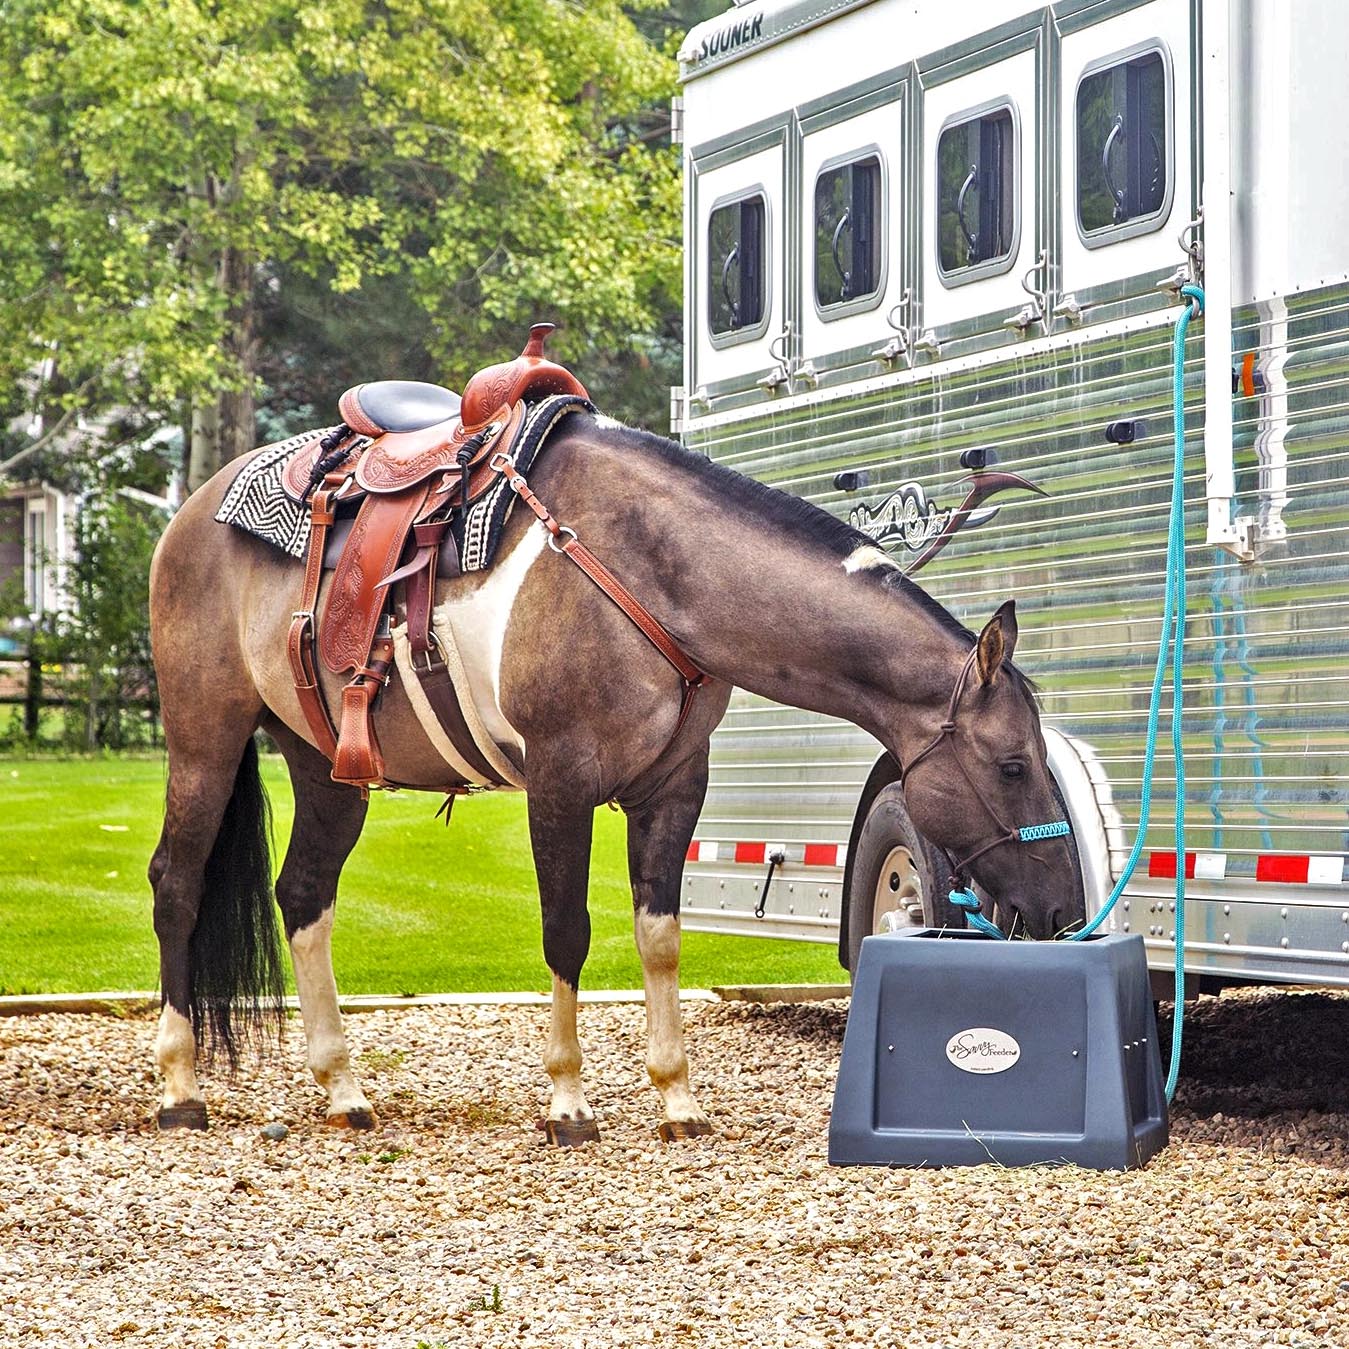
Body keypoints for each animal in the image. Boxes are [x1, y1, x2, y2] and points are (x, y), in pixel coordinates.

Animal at [147, 385, 1079, 1143]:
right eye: (1009, 765)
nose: (1061, 905)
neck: (649, 565)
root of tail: (193, 511)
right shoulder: (559, 784)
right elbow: (568, 931)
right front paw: (567, 1103)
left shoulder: (672, 790)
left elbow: (658, 937)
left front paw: (676, 1098)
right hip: (205, 737)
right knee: (177, 882)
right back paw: (180, 1087)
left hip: (326, 765)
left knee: (304, 895)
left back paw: (342, 1088)